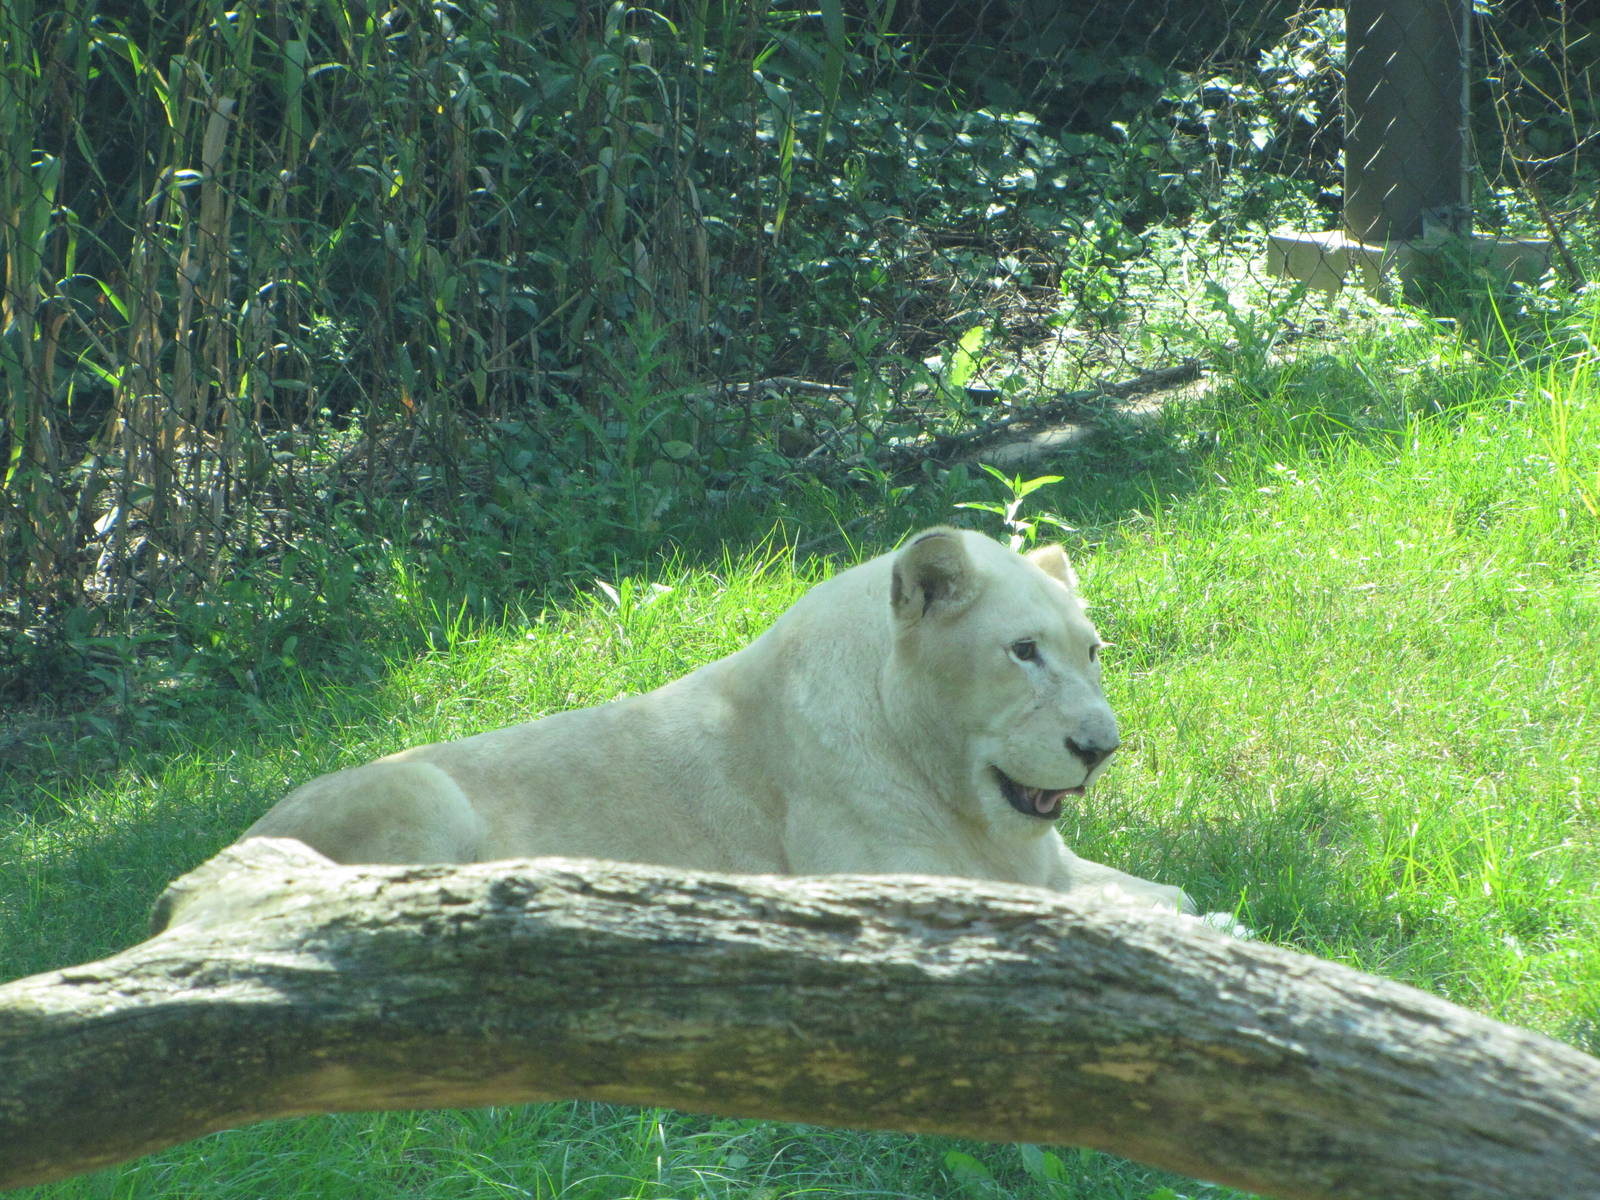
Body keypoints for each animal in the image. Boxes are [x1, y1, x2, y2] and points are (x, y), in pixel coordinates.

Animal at [241, 527, 1196, 914]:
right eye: (1022, 651)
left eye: (1092, 651)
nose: (1099, 749)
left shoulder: (1044, 863)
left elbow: (1171, 895)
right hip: (418, 790)